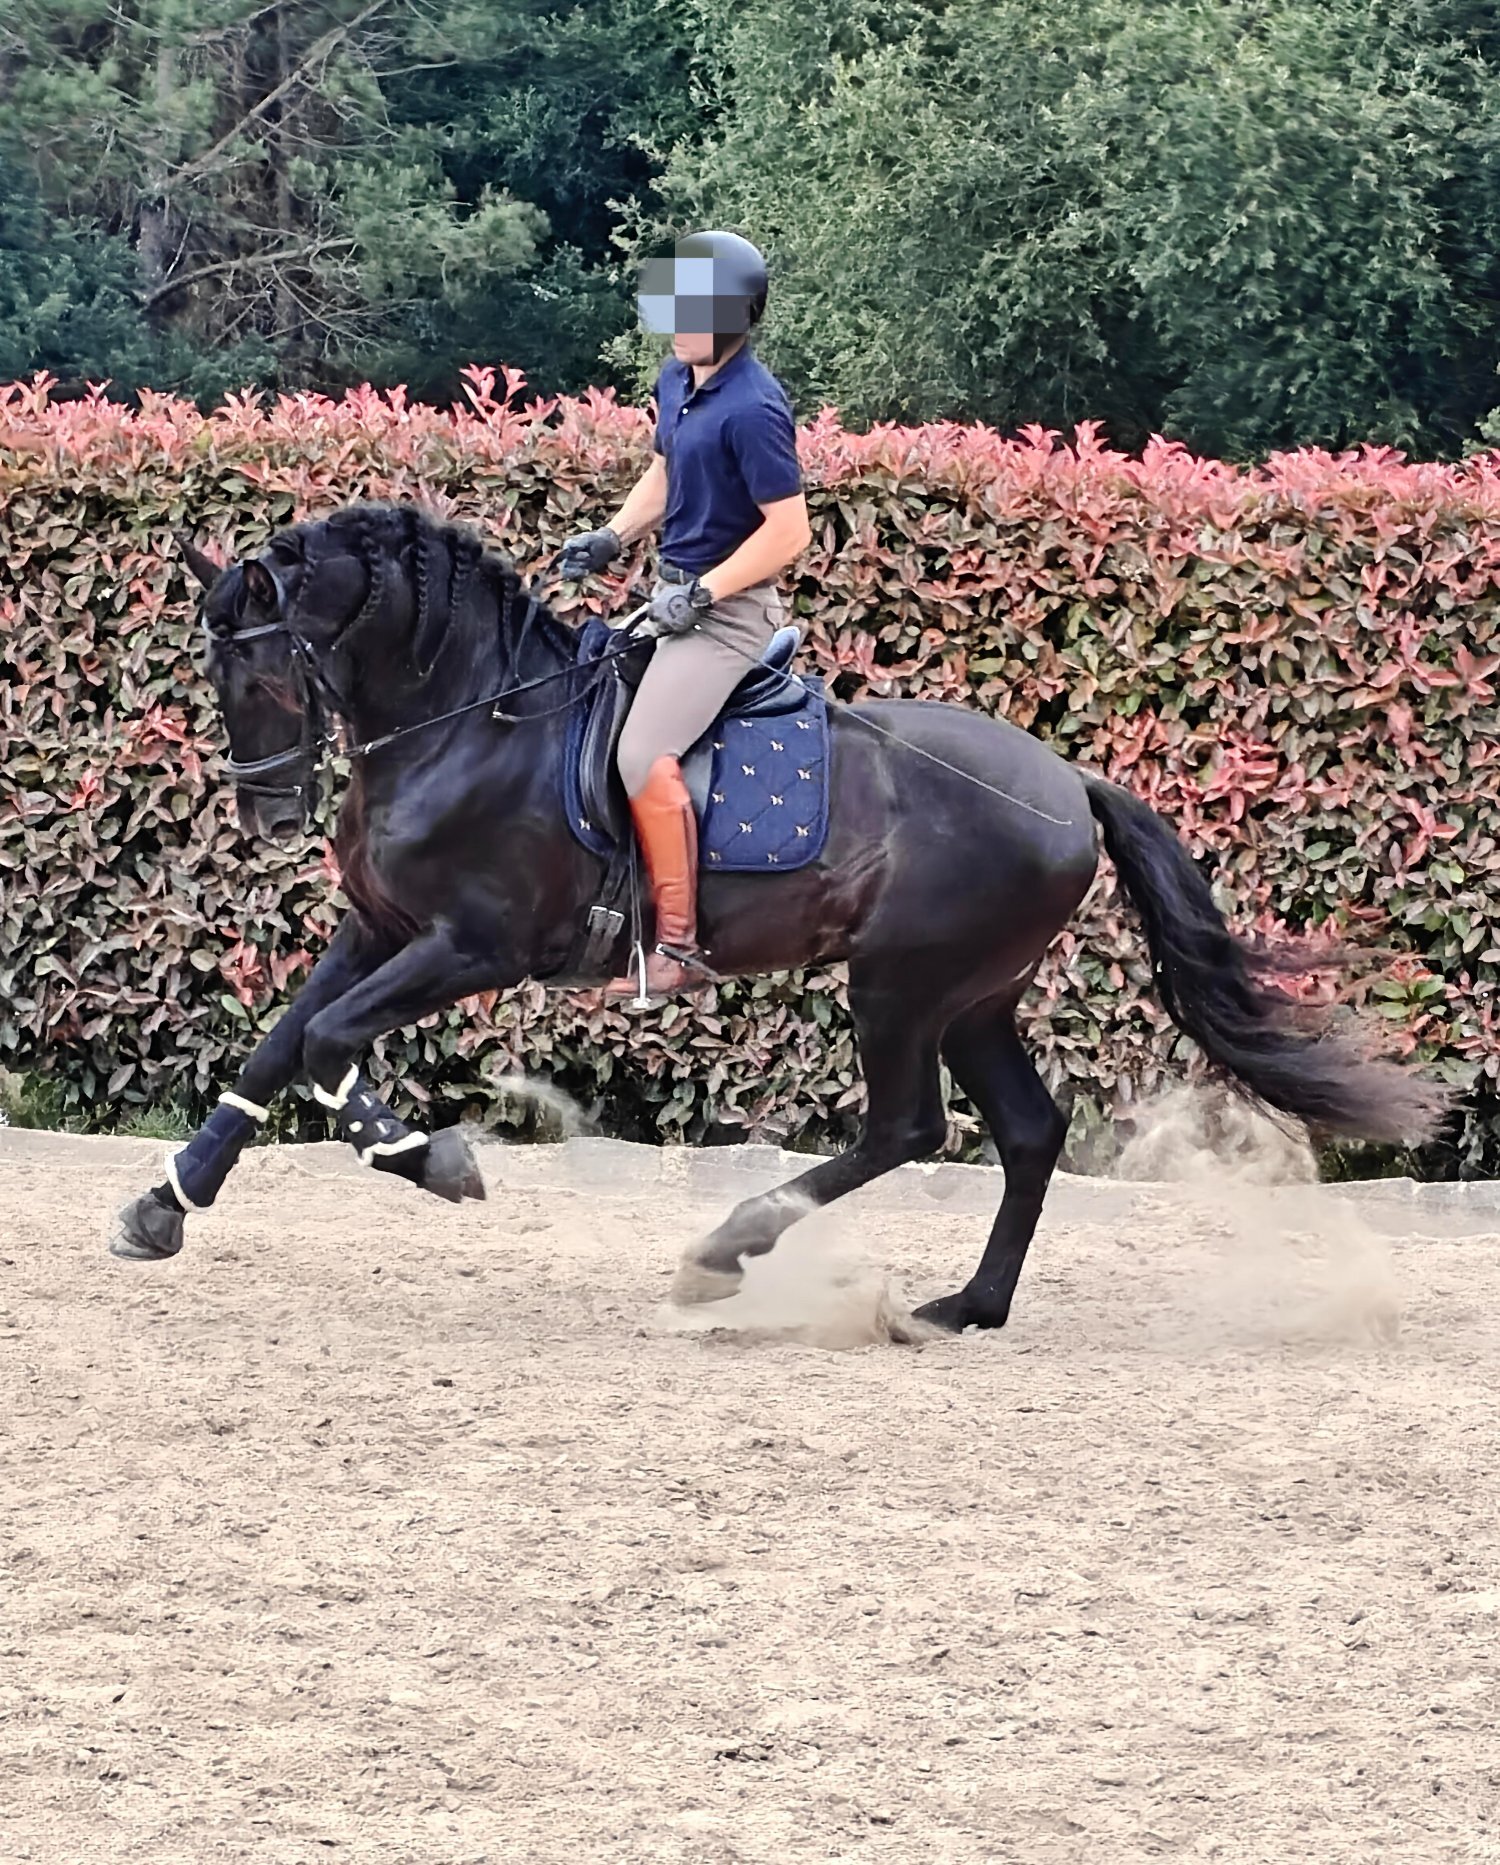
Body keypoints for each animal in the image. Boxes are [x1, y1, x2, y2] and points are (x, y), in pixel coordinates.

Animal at [110, 502, 1450, 1332]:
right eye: (214, 671)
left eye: (264, 667)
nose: (269, 813)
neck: (468, 716)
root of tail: (1069, 780)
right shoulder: (383, 929)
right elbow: (280, 1044)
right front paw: (164, 1202)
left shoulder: (471, 944)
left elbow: (332, 1044)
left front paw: (428, 1156)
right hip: (976, 993)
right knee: (1024, 1130)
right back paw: (967, 1305)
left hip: (902, 982)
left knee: (911, 1126)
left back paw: (725, 1252)